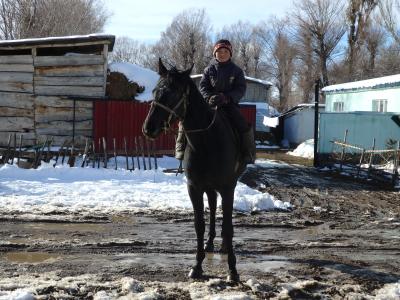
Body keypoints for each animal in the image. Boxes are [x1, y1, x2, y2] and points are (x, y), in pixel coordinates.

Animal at [142, 58, 245, 282]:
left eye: (173, 93)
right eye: (155, 90)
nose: (149, 128)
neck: (207, 140)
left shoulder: (228, 187)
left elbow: (228, 227)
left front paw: (232, 270)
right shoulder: (194, 187)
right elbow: (199, 225)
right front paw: (197, 266)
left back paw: (223, 246)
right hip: (209, 187)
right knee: (213, 208)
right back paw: (210, 243)